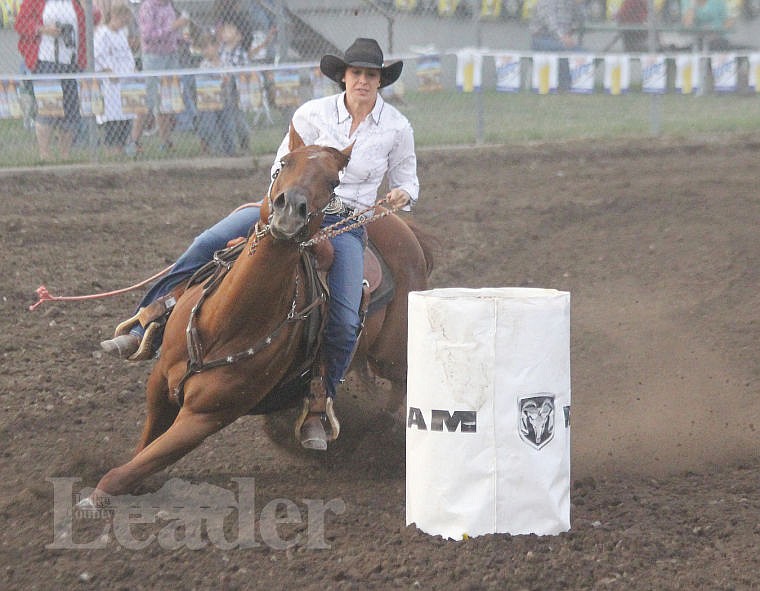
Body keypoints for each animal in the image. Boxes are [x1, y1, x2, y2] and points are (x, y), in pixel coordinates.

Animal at [87, 130, 434, 500]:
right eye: (284, 163)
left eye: (333, 181)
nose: (290, 209)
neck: (224, 324)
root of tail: (402, 227)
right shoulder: (159, 383)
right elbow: (143, 448)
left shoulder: (206, 417)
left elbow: (128, 471)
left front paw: (96, 496)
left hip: (391, 354)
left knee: (399, 382)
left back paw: (377, 429)